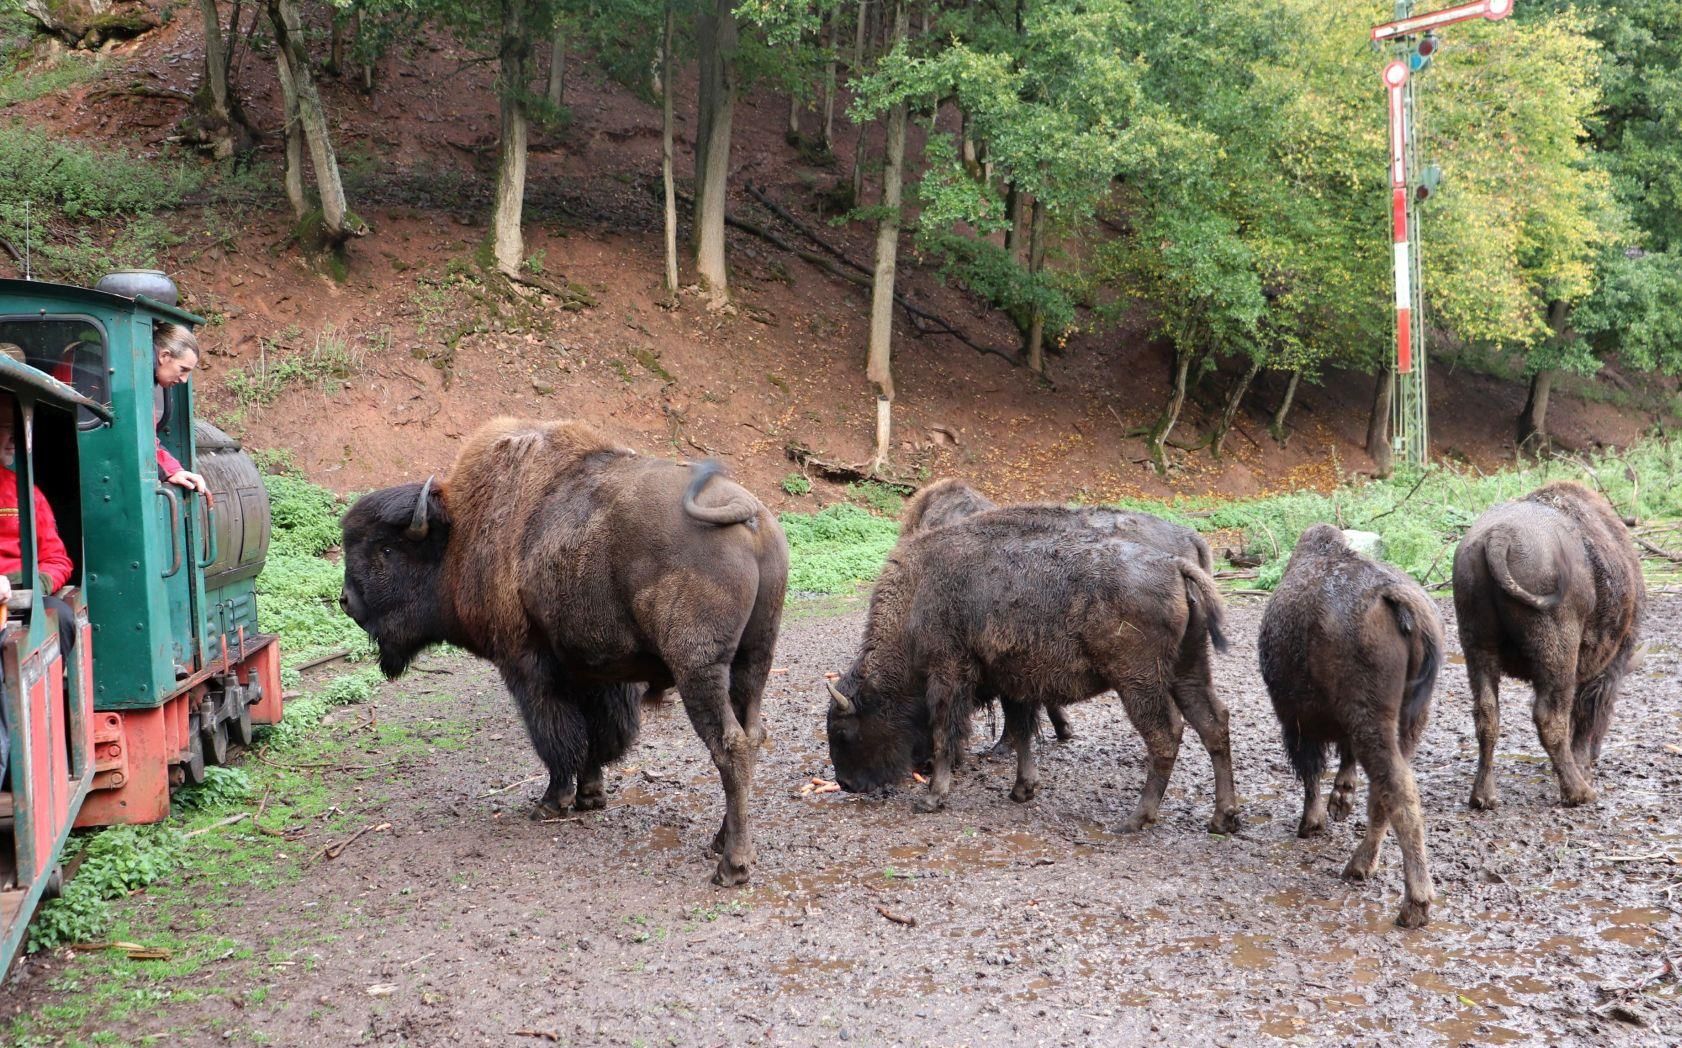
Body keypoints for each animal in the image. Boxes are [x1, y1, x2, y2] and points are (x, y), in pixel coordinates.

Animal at [338, 418, 789, 886]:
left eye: (386, 550)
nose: (346, 601)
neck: (461, 533)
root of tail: (749, 515)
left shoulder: (527, 667)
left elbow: (555, 736)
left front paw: (551, 802)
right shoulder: (594, 672)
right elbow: (596, 734)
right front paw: (591, 796)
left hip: (698, 668)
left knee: (729, 745)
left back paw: (732, 864)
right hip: (754, 658)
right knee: (751, 735)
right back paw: (721, 842)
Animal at [826, 508, 1240, 833]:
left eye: (843, 732)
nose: (846, 784)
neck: (917, 595)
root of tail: (1175, 565)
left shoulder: (948, 674)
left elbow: (946, 732)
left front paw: (932, 798)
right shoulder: (1012, 682)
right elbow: (1021, 731)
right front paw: (1022, 790)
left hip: (1138, 681)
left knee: (1166, 735)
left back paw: (1135, 819)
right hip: (1188, 669)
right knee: (1213, 723)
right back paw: (1223, 819)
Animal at [1258, 525, 1443, 928]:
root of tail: (1397, 600)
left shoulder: (1295, 721)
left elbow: (1310, 772)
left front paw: (1311, 823)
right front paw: (1339, 802)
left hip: (1372, 721)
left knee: (1398, 790)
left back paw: (1414, 904)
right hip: (1409, 722)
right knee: (1383, 792)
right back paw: (1361, 865)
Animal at [1452, 480, 1644, 810]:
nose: (1596, 754)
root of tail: (1498, 537)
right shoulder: (1609, 663)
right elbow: (1587, 709)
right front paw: (1583, 766)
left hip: (1477, 646)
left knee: (1487, 714)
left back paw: (1483, 796)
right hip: (1557, 651)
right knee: (1549, 717)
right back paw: (1579, 792)